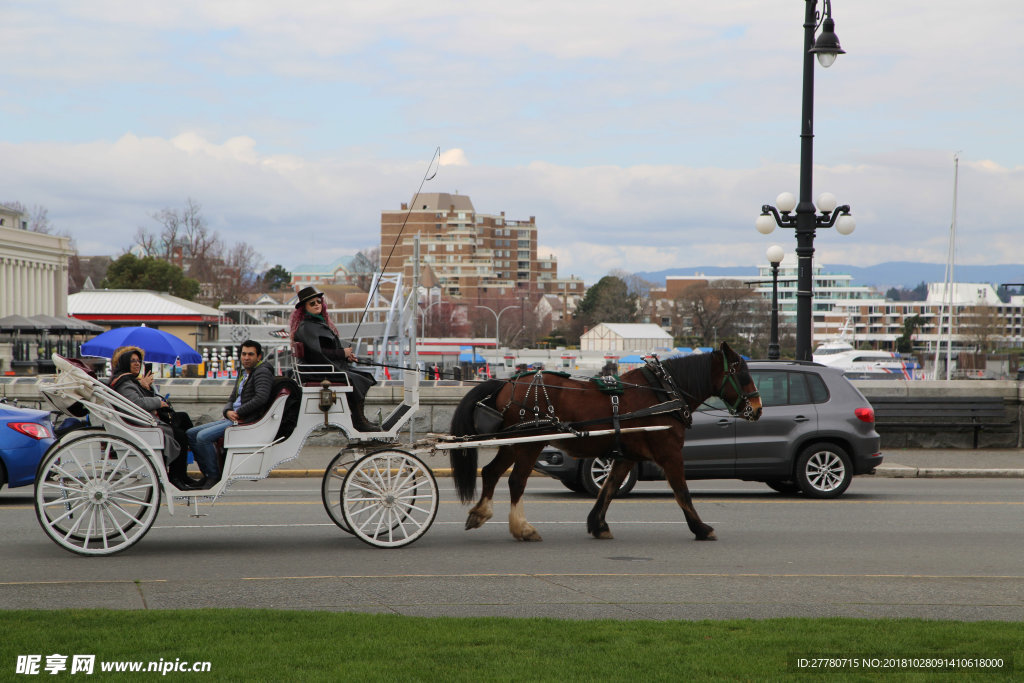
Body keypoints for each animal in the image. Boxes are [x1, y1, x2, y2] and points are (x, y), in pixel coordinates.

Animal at [448, 342, 761, 544]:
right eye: (743, 374)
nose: (757, 409)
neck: (663, 393)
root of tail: (508, 383)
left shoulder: (626, 456)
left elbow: (608, 490)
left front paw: (597, 525)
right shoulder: (670, 453)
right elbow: (682, 492)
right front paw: (701, 528)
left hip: (515, 442)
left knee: (491, 472)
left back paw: (480, 513)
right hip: (529, 442)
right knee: (516, 481)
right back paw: (522, 528)